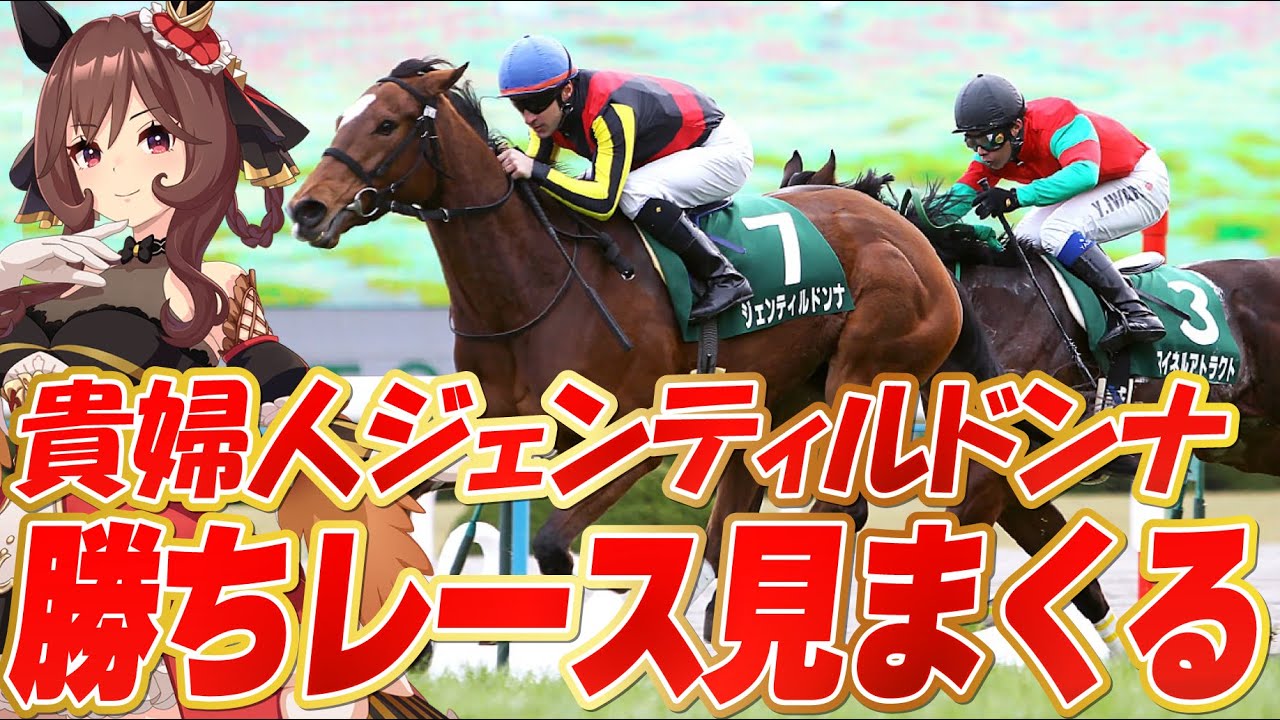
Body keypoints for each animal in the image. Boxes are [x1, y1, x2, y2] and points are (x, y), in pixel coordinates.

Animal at [283, 57, 982, 605]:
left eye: (387, 124)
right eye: (344, 118)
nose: (307, 208)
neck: (534, 286)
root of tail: (916, 240)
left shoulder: (637, 431)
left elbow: (554, 547)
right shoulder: (498, 431)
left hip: (862, 376)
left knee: (843, 508)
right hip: (777, 402)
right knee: (737, 530)